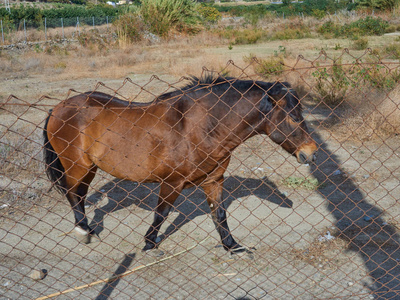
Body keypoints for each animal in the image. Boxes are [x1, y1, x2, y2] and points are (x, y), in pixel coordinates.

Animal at [43, 75, 318, 253]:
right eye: (292, 117)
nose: (311, 153)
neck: (199, 126)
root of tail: (59, 107)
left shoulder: (213, 181)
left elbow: (219, 214)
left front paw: (232, 246)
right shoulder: (171, 183)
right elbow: (161, 213)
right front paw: (150, 244)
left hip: (89, 168)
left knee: (79, 195)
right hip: (77, 166)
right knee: (73, 193)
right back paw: (83, 231)